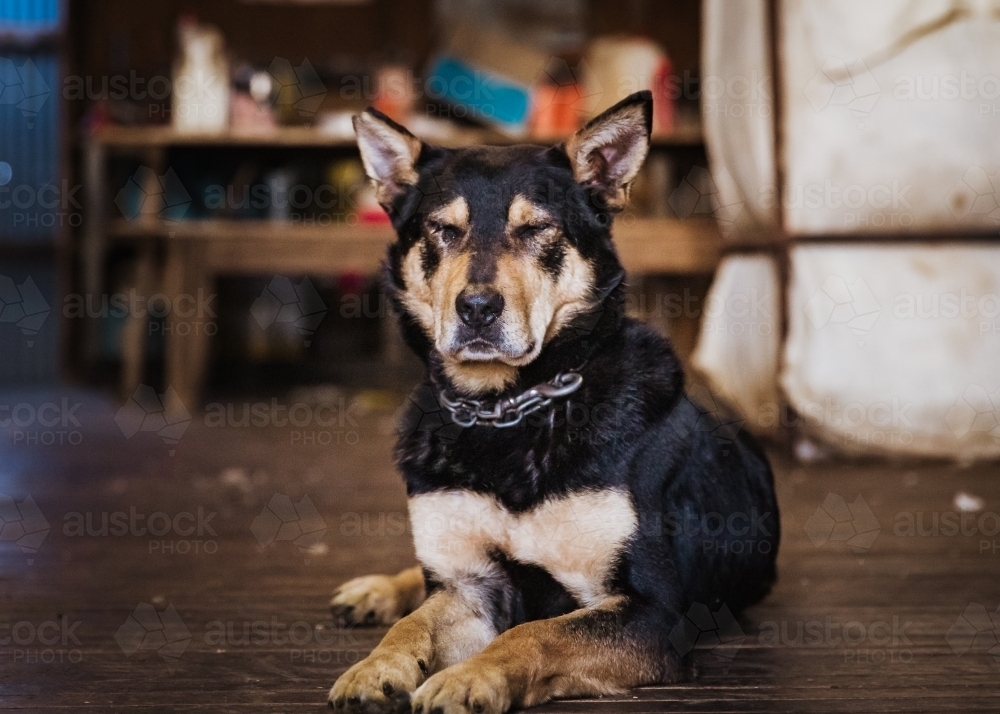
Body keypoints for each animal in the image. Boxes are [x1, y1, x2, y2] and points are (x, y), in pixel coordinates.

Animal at [328, 90, 780, 712]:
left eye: (536, 229)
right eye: (442, 230)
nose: (477, 308)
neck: (508, 410)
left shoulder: (653, 611)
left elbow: (535, 632)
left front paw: (471, 677)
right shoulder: (471, 587)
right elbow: (415, 622)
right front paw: (374, 668)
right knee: (421, 581)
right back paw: (375, 590)